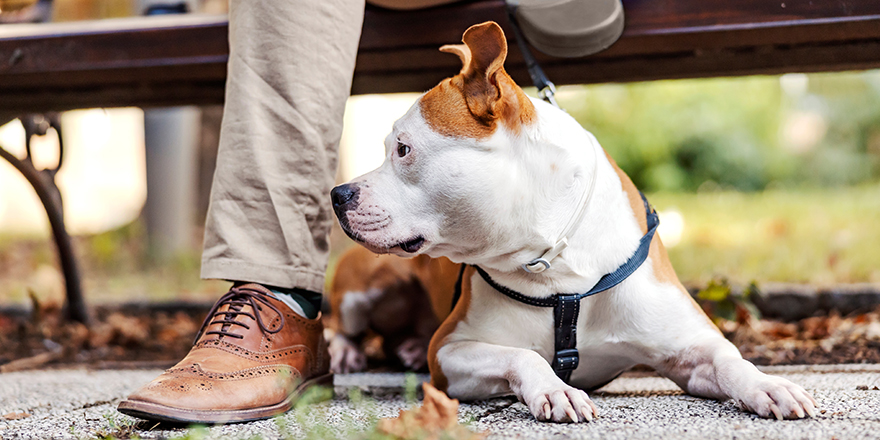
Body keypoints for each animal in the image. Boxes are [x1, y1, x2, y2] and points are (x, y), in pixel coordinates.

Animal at [332, 22, 820, 424]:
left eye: (403, 149)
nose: (338, 195)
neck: (554, 263)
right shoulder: (450, 352)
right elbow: (523, 356)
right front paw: (556, 390)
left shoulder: (691, 346)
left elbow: (730, 359)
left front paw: (768, 385)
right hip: (364, 287)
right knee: (343, 322)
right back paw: (343, 353)